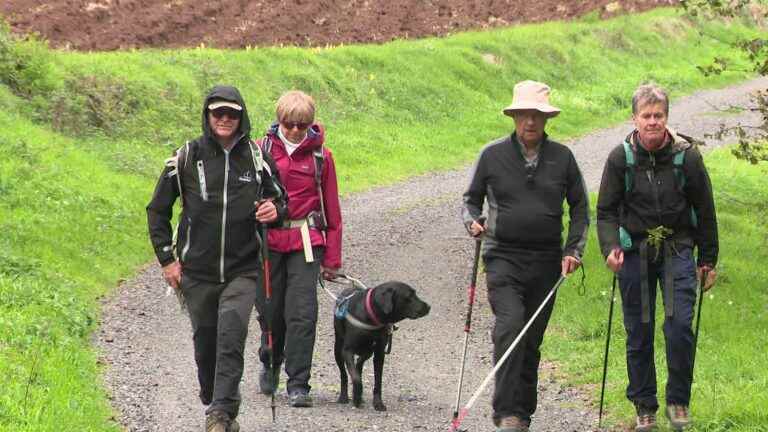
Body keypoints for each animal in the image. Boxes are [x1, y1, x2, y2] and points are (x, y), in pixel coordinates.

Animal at [332, 280, 428, 412]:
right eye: (409, 296)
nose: (428, 307)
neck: (370, 315)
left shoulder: (379, 354)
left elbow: (378, 381)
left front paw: (378, 403)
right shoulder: (348, 351)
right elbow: (356, 379)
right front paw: (356, 397)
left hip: (368, 351)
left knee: (359, 364)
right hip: (338, 350)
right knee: (344, 374)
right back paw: (344, 396)